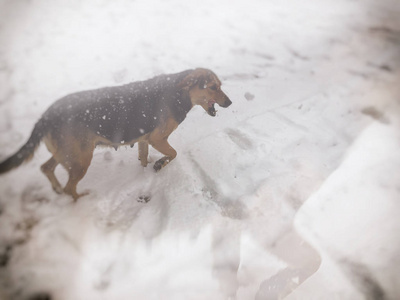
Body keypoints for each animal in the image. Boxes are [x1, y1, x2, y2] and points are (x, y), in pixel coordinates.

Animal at [0, 67, 231, 199]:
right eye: (212, 87)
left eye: (220, 85)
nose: (230, 102)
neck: (179, 93)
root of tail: (46, 116)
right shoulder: (158, 138)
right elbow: (173, 153)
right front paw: (159, 165)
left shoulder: (145, 139)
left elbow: (144, 157)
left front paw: (147, 169)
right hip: (81, 159)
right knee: (69, 187)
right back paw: (79, 200)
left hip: (68, 153)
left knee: (46, 168)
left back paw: (57, 190)